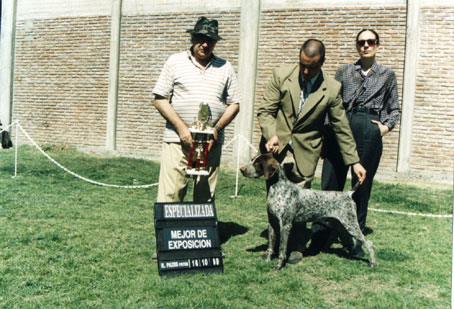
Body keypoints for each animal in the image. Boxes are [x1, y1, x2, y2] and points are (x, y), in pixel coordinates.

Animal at [241, 153, 376, 268]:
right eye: (252, 160)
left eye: (257, 163)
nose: (241, 169)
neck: (277, 188)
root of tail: (348, 194)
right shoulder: (272, 222)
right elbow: (271, 245)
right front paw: (268, 259)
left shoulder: (285, 225)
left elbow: (281, 249)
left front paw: (278, 265)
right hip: (340, 225)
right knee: (351, 241)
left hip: (350, 224)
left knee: (368, 243)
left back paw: (372, 263)